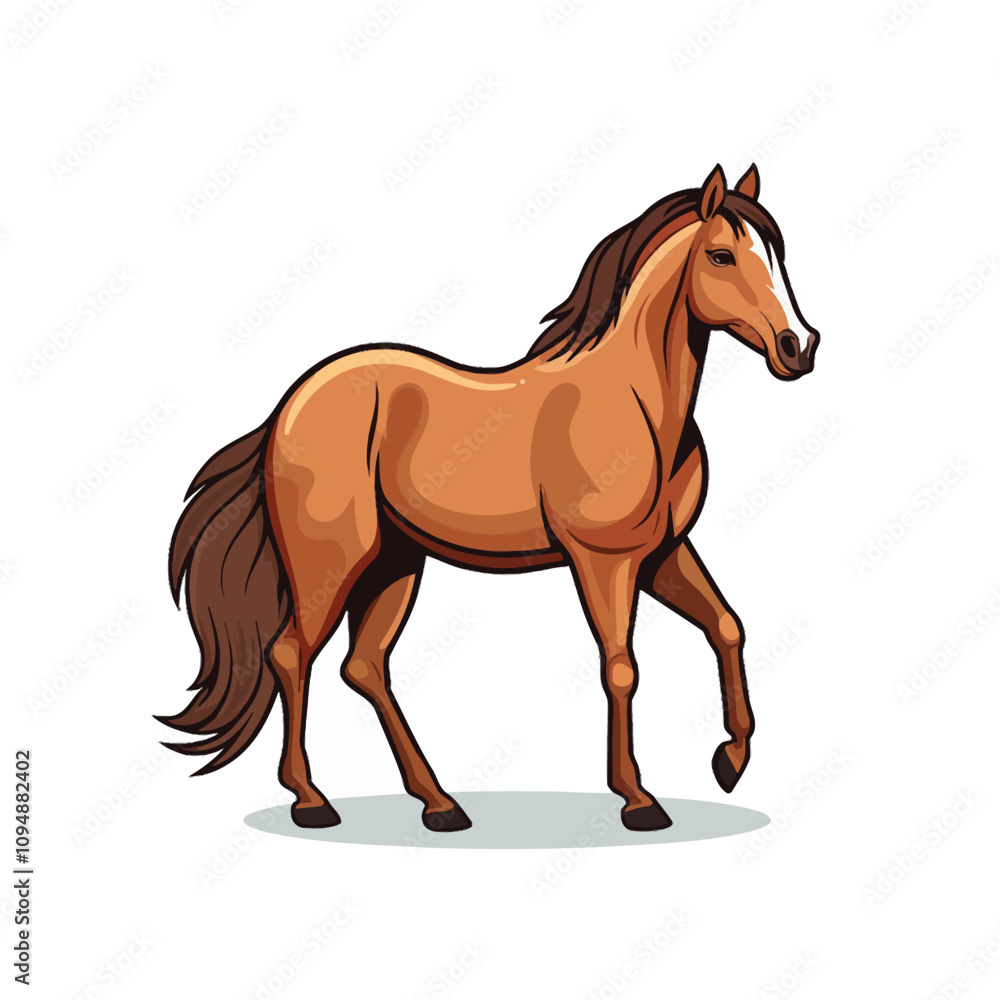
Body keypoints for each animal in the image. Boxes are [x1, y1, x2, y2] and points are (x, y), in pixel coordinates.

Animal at [160, 164, 821, 833]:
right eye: (721, 255)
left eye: (777, 254)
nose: (800, 347)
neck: (636, 402)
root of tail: (290, 406)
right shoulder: (604, 560)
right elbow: (621, 667)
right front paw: (638, 799)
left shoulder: (662, 552)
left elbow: (728, 627)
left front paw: (730, 759)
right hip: (334, 561)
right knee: (292, 654)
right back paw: (311, 801)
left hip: (395, 563)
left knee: (364, 666)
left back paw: (439, 804)